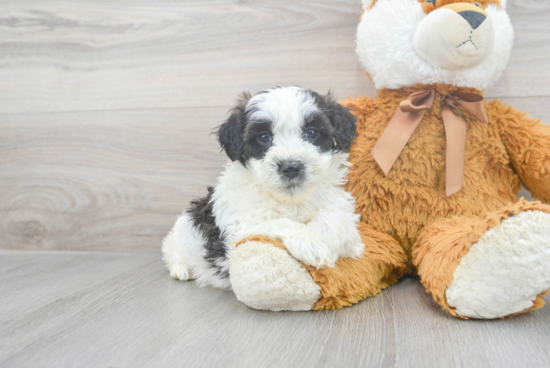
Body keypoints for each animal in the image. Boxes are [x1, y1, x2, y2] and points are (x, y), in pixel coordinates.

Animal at [162, 87, 364, 290]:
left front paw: (335, 242)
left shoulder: (338, 202)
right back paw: (182, 269)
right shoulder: (240, 226)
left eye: (312, 132)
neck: (291, 201)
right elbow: (278, 222)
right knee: (171, 252)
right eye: (264, 137)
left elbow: (334, 216)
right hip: (179, 237)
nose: (291, 167)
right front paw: (309, 242)